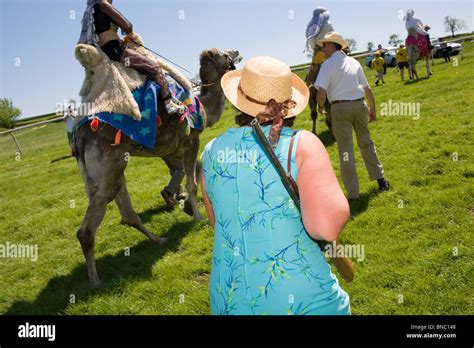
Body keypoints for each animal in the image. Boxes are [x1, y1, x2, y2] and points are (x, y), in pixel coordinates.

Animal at [74, 47, 243, 286]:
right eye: (223, 54)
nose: (236, 51)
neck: (204, 108)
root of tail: (80, 136)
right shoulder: (191, 141)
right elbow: (191, 181)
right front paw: (197, 216)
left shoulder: (171, 149)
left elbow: (192, 169)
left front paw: (183, 203)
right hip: (107, 168)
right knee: (87, 229)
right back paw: (96, 280)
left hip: (115, 168)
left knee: (127, 213)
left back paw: (158, 239)